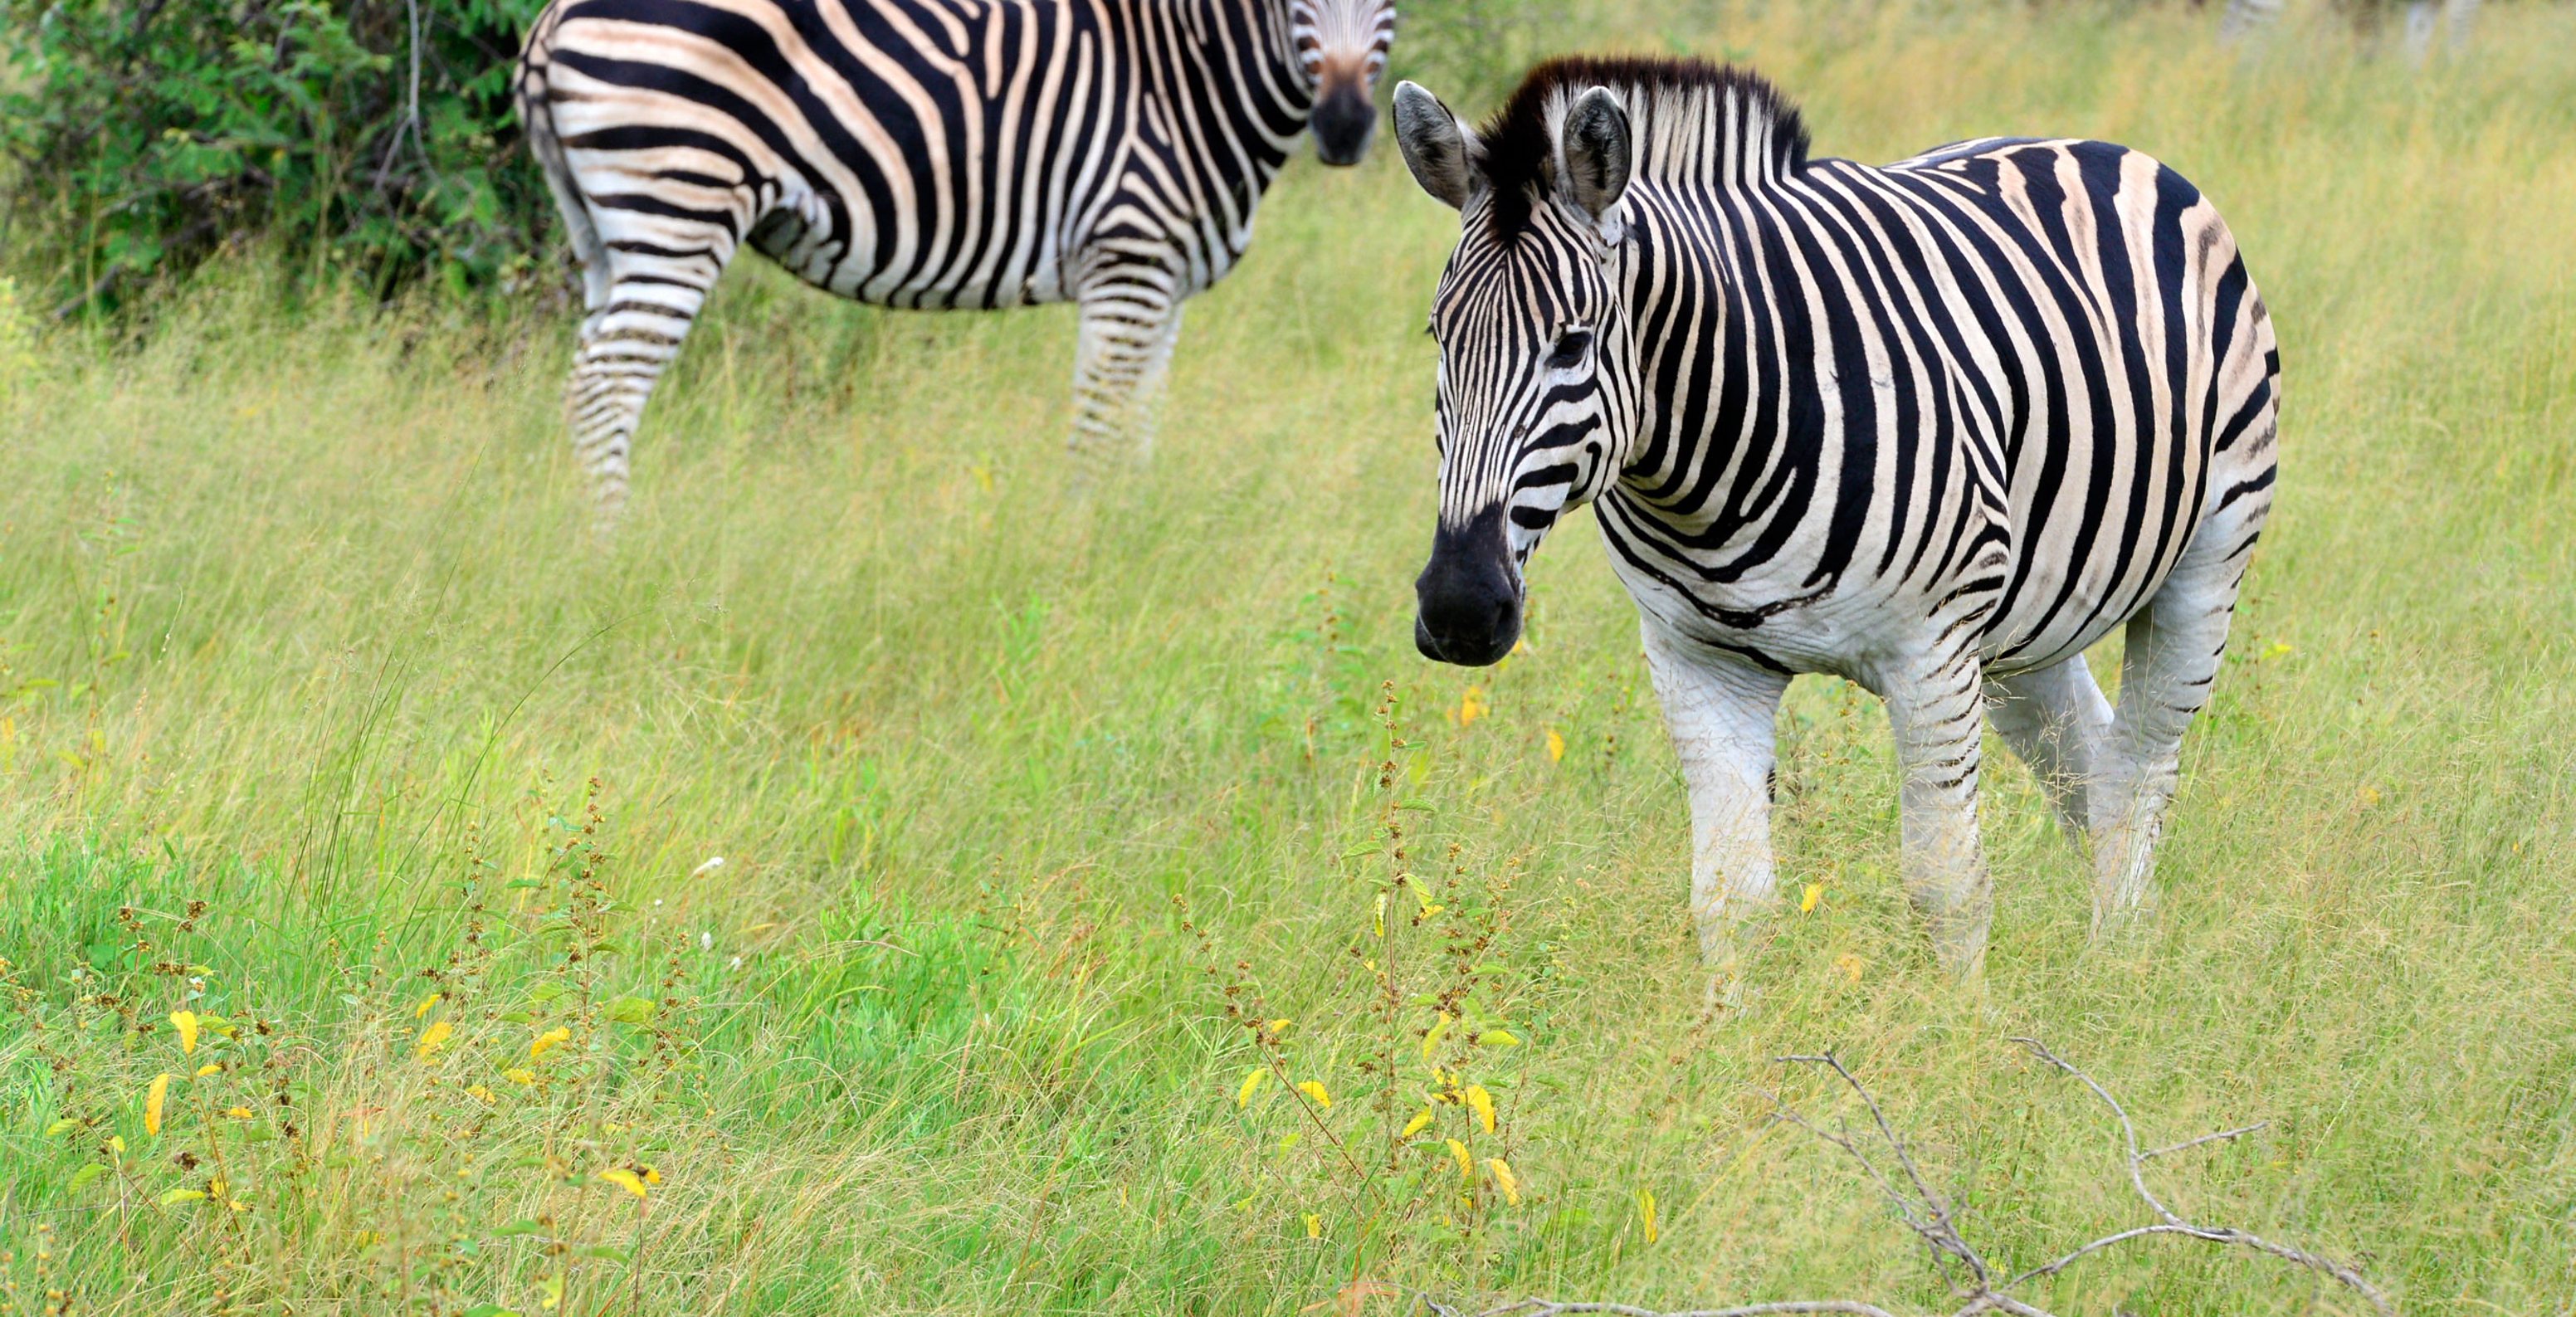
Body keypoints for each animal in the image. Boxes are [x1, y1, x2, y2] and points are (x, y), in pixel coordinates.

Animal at [517, 0, 1391, 523]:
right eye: (1292, 1)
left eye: (1386, 3)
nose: (1347, 129)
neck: (1186, 75)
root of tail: (555, 18)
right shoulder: (1127, 258)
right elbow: (1098, 425)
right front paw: (1082, 546)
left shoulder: (1167, 280)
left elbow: (1140, 422)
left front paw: (1130, 531)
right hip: (679, 204)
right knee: (603, 389)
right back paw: (614, 551)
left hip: (604, 233)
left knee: (583, 379)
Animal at [1401, 56, 2287, 979]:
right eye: (1437, 337)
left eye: (1572, 344)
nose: (1459, 609)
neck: (1707, 466)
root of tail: (2089, 144)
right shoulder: (1697, 661)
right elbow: (1730, 899)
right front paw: (1729, 1024)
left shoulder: (1931, 653)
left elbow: (1948, 887)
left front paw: (1962, 1024)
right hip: (2026, 617)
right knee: (2086, 762)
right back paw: (2115, 959)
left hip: (2205, 561)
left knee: (2135, 770)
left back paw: (2118, 972)